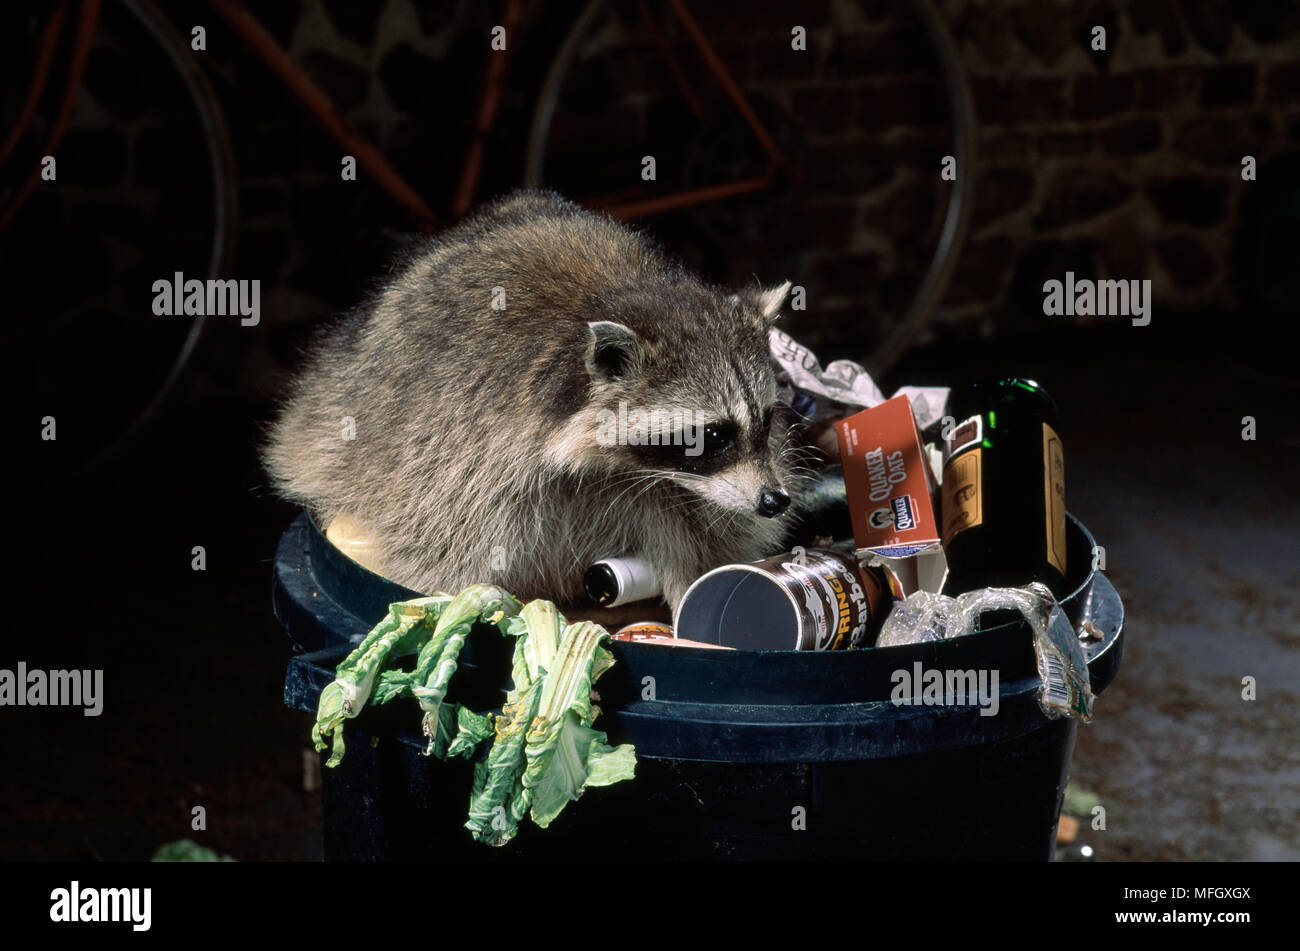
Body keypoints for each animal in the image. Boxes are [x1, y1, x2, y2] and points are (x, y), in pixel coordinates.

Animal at [264, 190, 809, 609]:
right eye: (713, 434)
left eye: (766, 421)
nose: (774, 500)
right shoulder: (463, 451)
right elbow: (441, 545)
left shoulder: (673, 490)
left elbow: (701, 538)